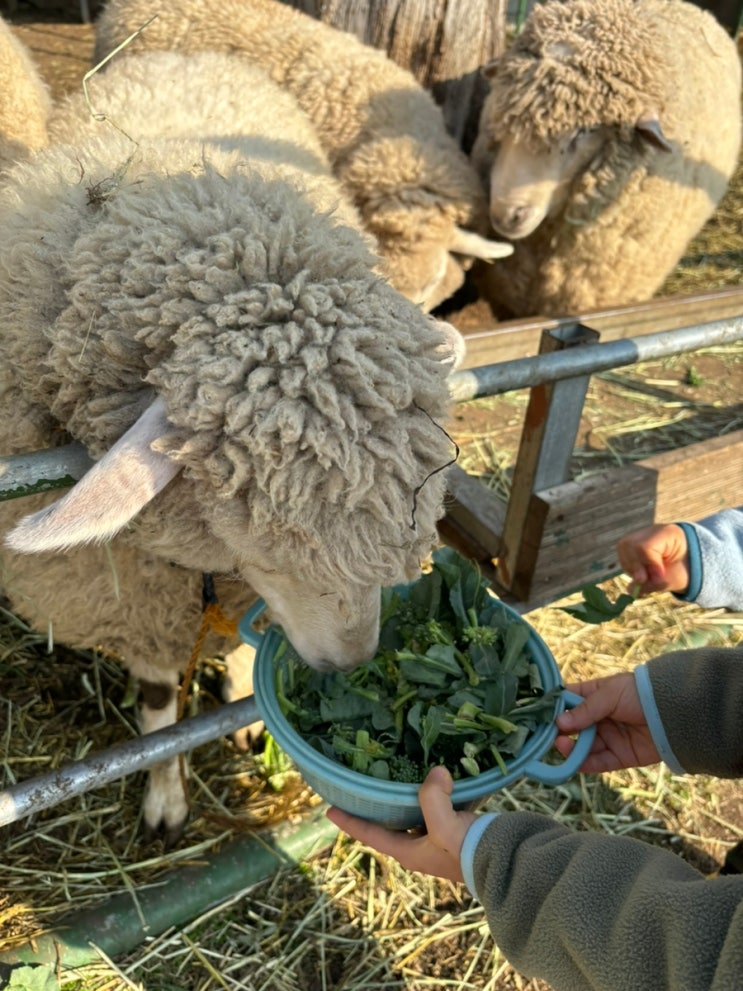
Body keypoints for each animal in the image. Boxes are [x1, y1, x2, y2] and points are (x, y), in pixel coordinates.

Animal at [0, 50, 460, 844]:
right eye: (271, 543)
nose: (352, 663)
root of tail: (183, 56)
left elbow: (245, 643)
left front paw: (245, 704)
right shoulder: (139, 601)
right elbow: (158, 705)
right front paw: (165, 798)